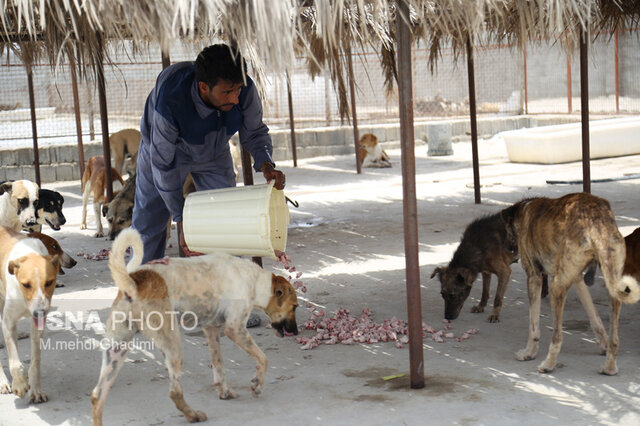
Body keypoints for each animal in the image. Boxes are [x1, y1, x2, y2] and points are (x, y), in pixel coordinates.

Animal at [0, 226, 60, 402]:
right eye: (26, 284)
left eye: (49, 282)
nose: (39, 312)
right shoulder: (8, 322)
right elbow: (14, 363)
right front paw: (19, 385)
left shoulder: (38, 324)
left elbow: (36, 360)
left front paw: (36, 390)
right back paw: (4, 382)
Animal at [92, 230, 300, 426]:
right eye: (295, 306)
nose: (296, 332)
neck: (255, 280)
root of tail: (133, 283)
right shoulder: (235, 329)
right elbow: (264, 359)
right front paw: (257, 385)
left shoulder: (212, 329)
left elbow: (219, 365)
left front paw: (224, 391)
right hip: (172, 343)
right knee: (174, 392)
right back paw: (193, 415)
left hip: (116, 350)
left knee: (97, 396)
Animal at [502, 193, 636, 376]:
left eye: (507, 231)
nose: (509, 250)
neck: (524, 210)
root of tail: (595, 218)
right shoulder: (577, 279)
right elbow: (594, 317)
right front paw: (603, 344)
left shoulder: (534, 277)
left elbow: (533, 325)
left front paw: (528, 352)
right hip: (612, 285)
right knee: (614, 338)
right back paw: (609, 367)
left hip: (556, 286)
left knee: (557, 337)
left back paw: (548, 364)